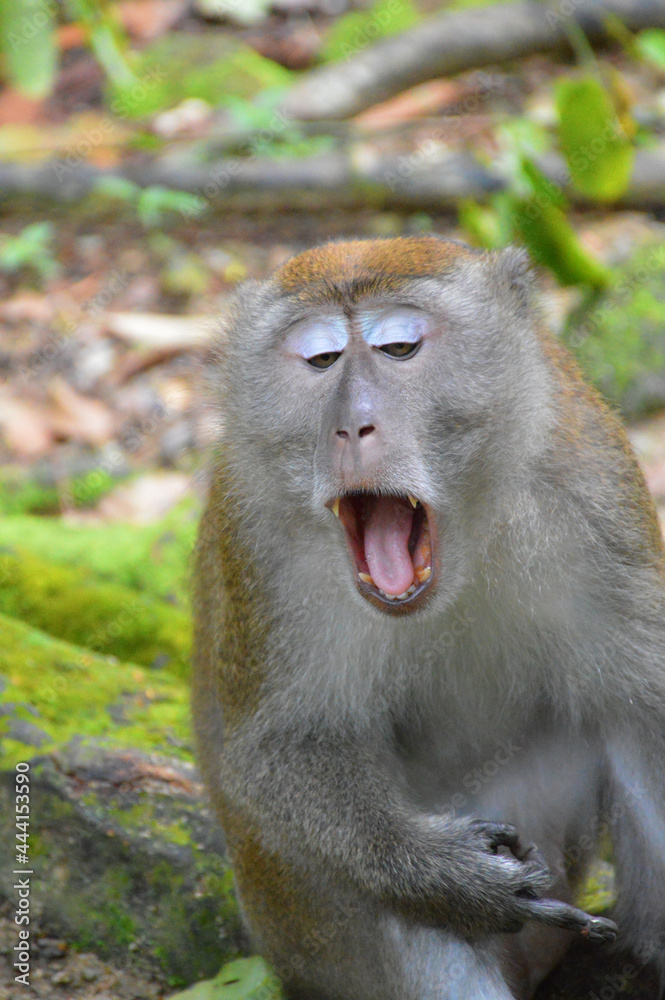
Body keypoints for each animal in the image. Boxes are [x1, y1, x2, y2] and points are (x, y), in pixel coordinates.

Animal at [192, 235, 665, 1000]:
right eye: (321, 360)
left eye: (399, 348)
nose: (352, 425)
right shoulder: (255, 533)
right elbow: (281, 749)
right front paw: (448, 876)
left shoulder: (588, 482)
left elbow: (647, 700)